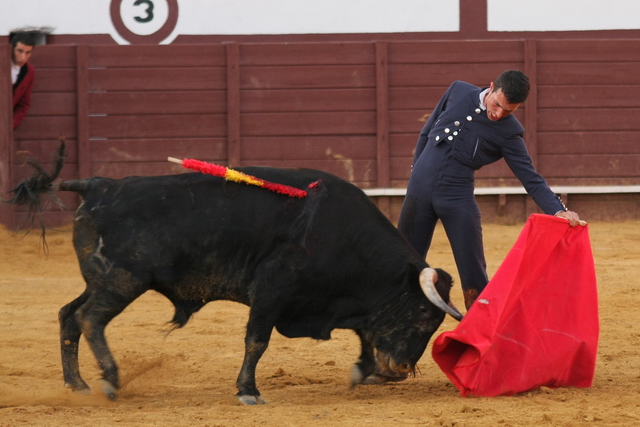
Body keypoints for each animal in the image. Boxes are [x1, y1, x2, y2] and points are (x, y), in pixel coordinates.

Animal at [7, 143, 462, 404]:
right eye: (424, 315)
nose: (400, 370)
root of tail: (99, 185)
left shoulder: (341, 304)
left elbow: (365, 333)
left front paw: (363, 370)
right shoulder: (273, 290)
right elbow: (257, 341)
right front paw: (248, 391)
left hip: (101, 281)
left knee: (69, 315)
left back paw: (78, 385)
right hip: (122, 281)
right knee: (89, 319)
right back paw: (110, 381)